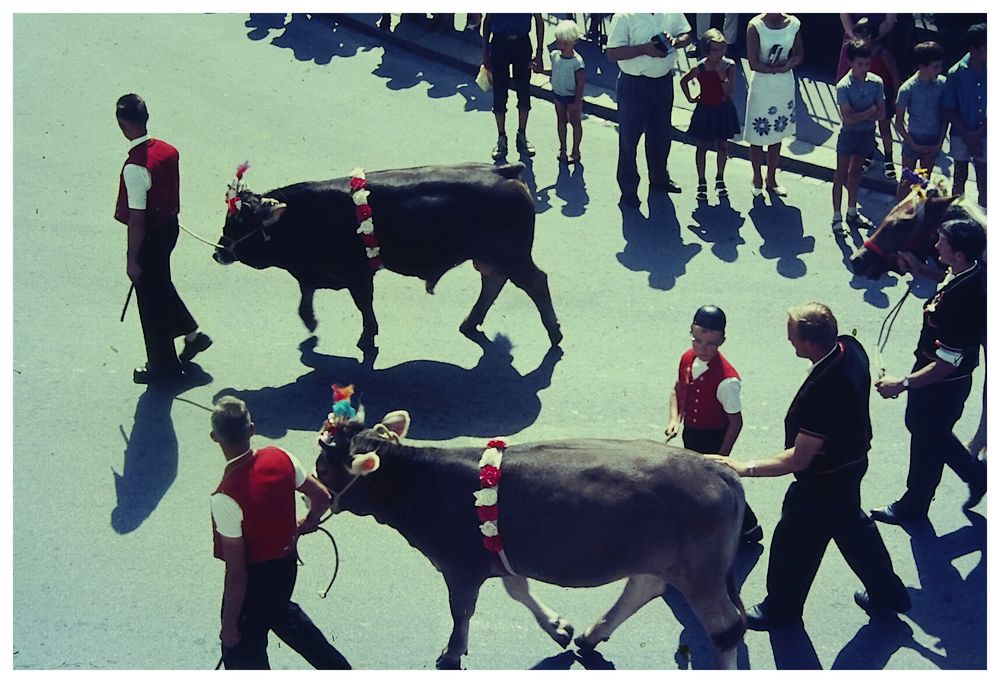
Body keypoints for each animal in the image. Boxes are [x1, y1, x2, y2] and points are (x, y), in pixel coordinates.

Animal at [214, 164, 564, 364]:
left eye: (241, 223)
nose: (218, 252)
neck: (301, 215)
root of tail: (503, 171)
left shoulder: (357, 274)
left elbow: (362, 305)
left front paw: (366, 338)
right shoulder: (316, 273)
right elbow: (306, 296)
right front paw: (311, 325)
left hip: (513, 256)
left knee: (535, 282)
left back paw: (554, 334)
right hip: (491, 258)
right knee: (493, 282)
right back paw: (470, 322)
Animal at [316, 408, 748, 672]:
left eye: (324, 467)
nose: (310, 497)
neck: (420, 482)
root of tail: (716, 467)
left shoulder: (459, 566)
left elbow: (462, 612)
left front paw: (451, 653)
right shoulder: (499, 551)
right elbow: (518, 589)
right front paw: (558, 627)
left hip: (700, 572)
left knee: (725, 627)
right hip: (662, 558)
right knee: (643, 586)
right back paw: (593, 634)